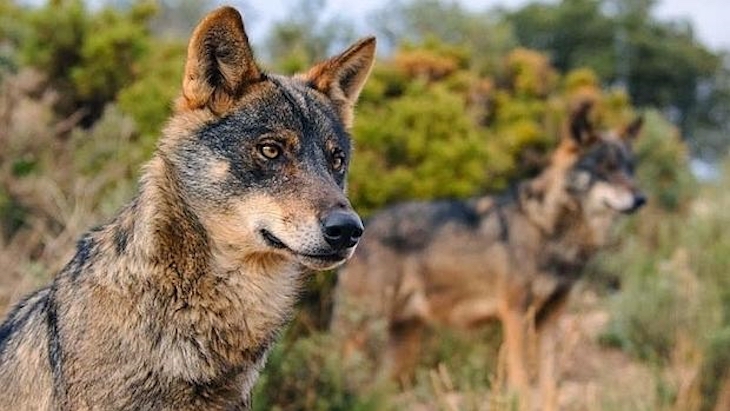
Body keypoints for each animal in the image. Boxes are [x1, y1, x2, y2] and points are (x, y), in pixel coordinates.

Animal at [331, 102, 645, 409]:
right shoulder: (515, 314)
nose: (641, 199)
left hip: (401, 346)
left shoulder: (551, 318)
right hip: (363, 332)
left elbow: (550, 387)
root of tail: (363, 227)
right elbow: (521, 383)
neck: (548, 228)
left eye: (629, 169)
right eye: (606, 168)